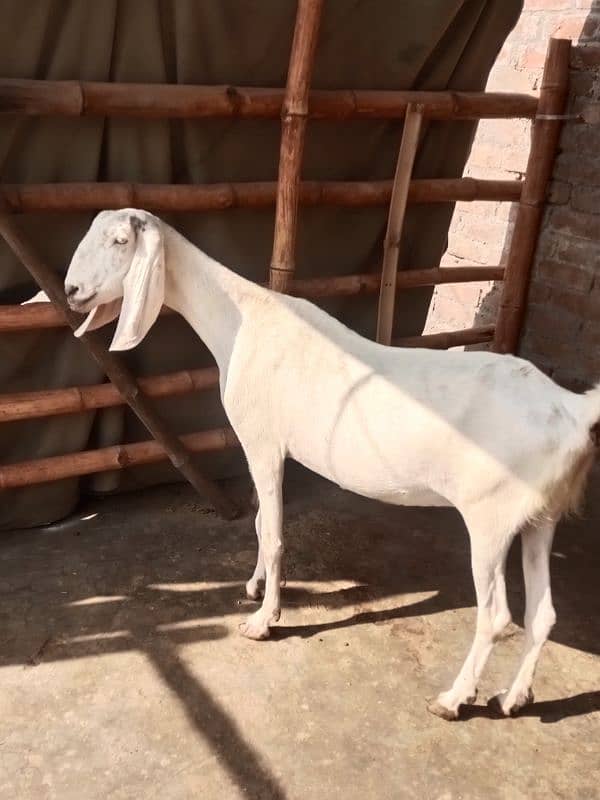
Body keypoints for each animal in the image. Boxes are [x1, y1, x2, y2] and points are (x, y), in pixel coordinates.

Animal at [43, 209, 600, 720]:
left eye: (120, 241)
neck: (241, 318)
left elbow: (272, 532)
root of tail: (570, 408)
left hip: (490, 518)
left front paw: (264, 621)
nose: (71, 290)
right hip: (540, 517)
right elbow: (262, 522)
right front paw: (254, 587)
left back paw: (454, 699)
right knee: (543, 614)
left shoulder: (263, 443)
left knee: (498, 616)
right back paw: (514, 697)